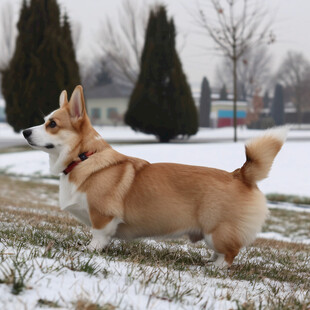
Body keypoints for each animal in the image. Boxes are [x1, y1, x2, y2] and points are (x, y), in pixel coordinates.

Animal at [23, 86, 286, 268]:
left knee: (231, 253)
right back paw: (211, 262)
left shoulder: (103, 216)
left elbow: (98, 236)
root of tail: (241, 175)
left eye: (52, 124)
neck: (83, 157)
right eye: (45, 121)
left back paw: (215, 267)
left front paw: (90, 250)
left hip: (217, 231)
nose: (24, 131)